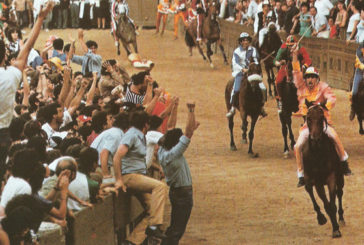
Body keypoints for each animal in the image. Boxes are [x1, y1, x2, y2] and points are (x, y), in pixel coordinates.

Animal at [302, 104, 346, 238]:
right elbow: (326, 205)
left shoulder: (331, 177)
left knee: (339, 193)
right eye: (308, 118)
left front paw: (336, 229)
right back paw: (321, 218)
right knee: (309, 189)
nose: (315, 139)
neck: (318, 154)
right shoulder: (317, 182)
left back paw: (341, 218)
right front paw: (332, 225)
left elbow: (332, 204)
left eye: (321, 118)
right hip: (309, 178)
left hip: (340, 178)